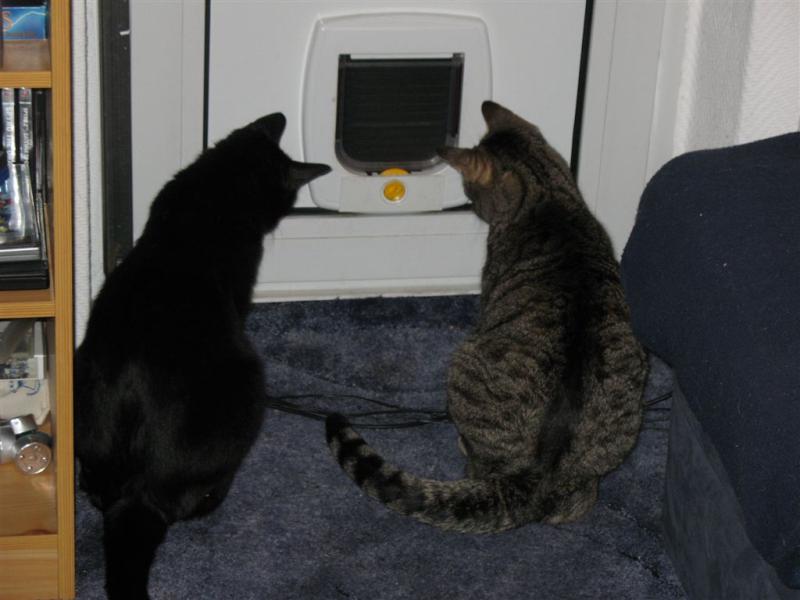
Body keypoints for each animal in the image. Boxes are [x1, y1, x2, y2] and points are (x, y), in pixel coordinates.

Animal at [325, 101, 647, 533]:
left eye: (468, 188)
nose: (472, 205)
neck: (547, 197)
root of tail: (532, 480)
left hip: (464, 360)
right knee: (574, 505)